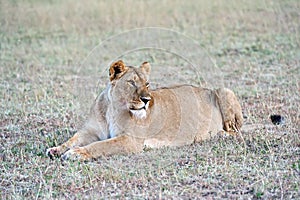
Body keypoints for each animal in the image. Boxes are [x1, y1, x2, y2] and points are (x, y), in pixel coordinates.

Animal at [47, 60, 244, 160]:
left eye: (147, 84)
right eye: (132, 83)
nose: (146, 100)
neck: (113, 108)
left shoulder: (130, 140)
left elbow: (100, 146)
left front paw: (76, 153)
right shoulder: (90, 131)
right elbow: (73, 140)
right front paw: (56, 149)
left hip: (225, 91)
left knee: (236, 132)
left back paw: (218, 135)